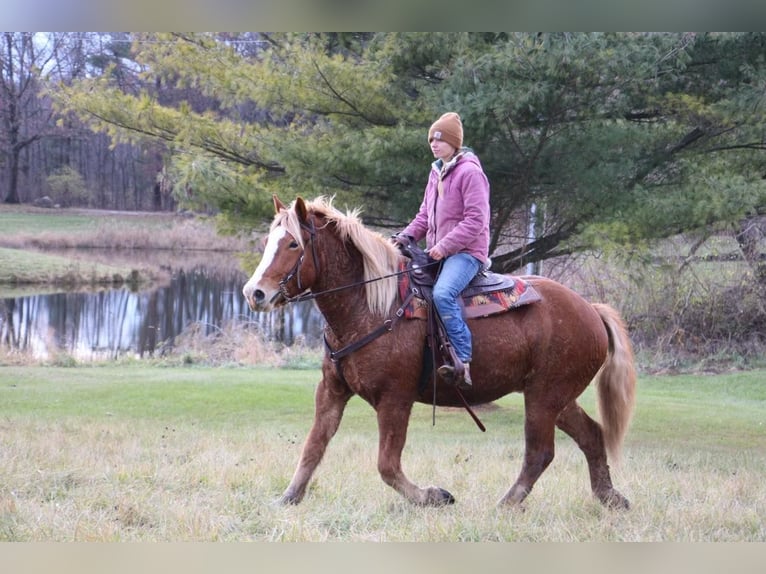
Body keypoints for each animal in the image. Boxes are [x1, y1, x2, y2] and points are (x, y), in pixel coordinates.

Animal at [243, 197, 640, 508]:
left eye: (293, 244)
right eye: (268, 240)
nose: (254, 293)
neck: (371, 305)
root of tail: (591, 310)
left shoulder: (395, 398)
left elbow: (387, 464)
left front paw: (434, 496)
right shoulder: (332, 391)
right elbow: (313, 447)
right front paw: (288, 497)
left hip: (544, 397)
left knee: (540, 453)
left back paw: (507, 503)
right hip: (556, 397)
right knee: (591, 435)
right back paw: (609, 497)